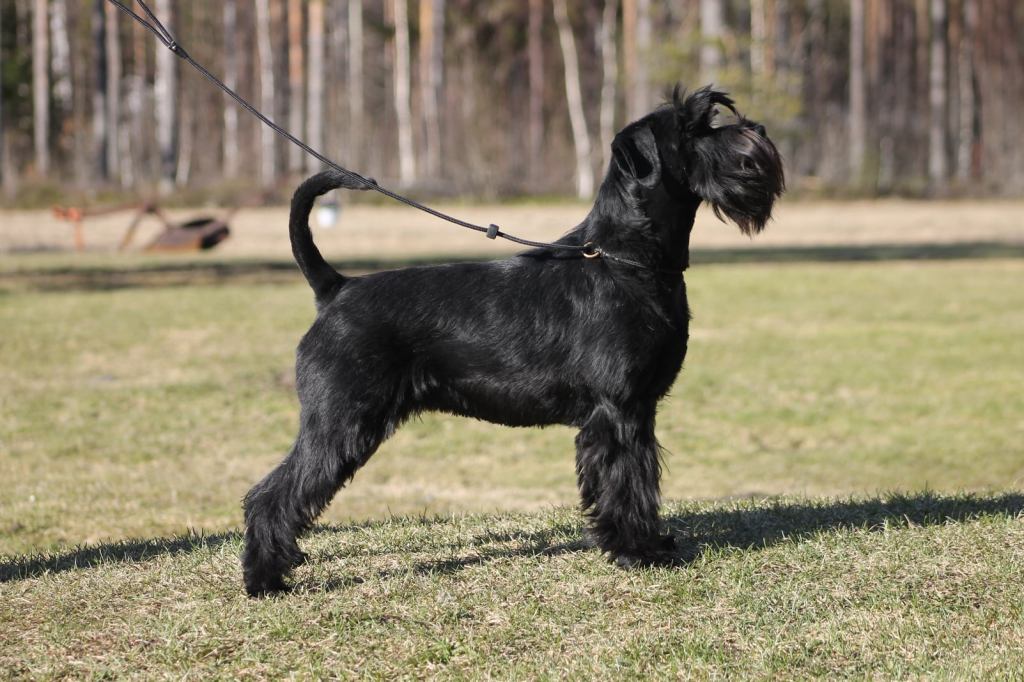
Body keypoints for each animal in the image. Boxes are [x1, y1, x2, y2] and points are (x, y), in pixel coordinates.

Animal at [242, 86, 784, 596]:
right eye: (694, 128)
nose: (758, 130)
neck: (626, 259)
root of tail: (336, 288)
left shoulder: (640, 410)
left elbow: (642, 479)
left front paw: (651, 543)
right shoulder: (619, 411)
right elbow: (626, 483)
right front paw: (638, 552)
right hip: (340, 423)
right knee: (271, 494)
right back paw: (265, 579)